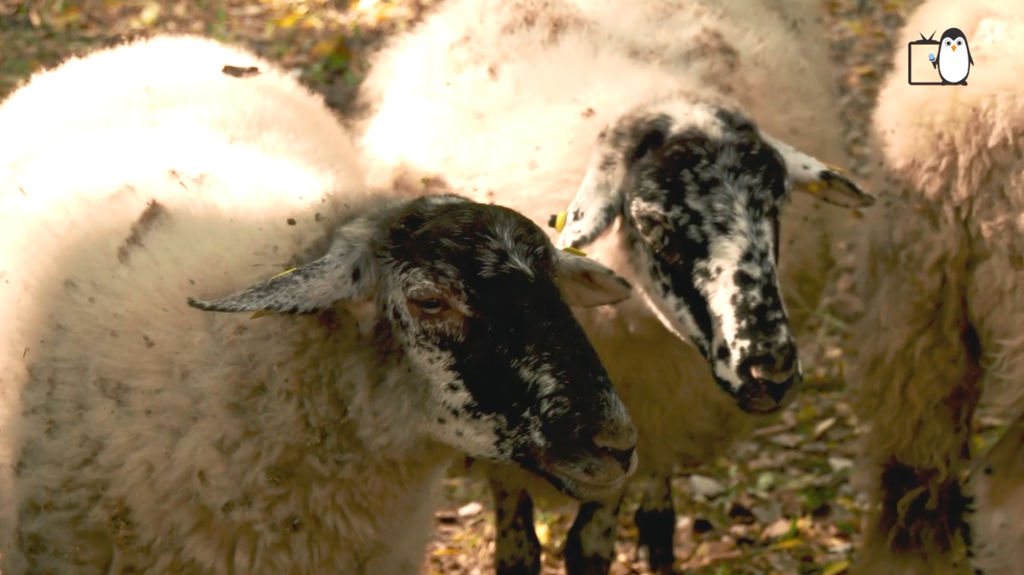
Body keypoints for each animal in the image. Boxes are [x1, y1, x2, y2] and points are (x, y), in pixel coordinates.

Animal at [350, 0, 872, 568]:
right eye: (652, 222)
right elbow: (518, 549)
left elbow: (590, 547)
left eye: (777, 205)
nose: (770, 373)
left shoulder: (629, 430)